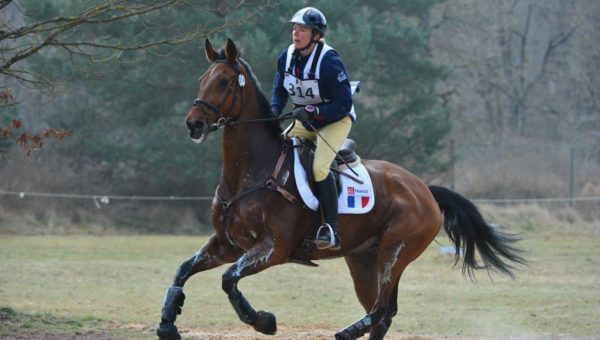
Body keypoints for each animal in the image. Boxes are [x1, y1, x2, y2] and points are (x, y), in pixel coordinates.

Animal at [156, 39, 524, 340]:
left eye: (223, 81)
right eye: (202, 79)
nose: (194, 125)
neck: (249, 172)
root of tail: (425, 190)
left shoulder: (273, 248)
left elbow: (229, 279)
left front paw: (263, 321)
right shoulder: (228, 244)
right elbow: (184, 269)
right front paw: (167, 324)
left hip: (395, 251)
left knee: (380, 309)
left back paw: (348, 332)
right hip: (363, 259)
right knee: (384, 312)